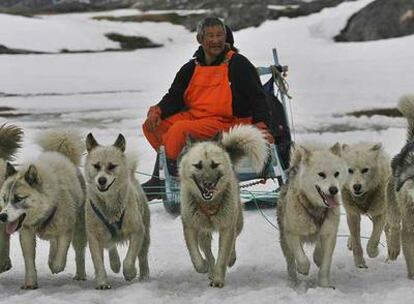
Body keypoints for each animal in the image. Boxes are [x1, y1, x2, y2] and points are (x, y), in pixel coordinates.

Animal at [0, 129, 86, 288]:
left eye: (19, 198)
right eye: (4, 198)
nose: (2, 216)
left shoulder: (66, 230)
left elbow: (61, 256)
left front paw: (57, 266)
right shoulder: (26, 233)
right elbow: (29, 259)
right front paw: (30, 283)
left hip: (79, 227)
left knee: (79, 251)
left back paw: (80, 274)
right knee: (53, 242)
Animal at [84, 134, 150, 290]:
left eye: (112, 166)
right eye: (96, 166)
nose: (102, 180)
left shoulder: (137, 231)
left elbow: (130, 258)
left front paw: (130, 272)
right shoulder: (94, 236)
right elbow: (98, 262)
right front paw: (102, 282)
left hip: (145, 232)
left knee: (143, 256)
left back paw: (144, 276)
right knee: (111, 246)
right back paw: (115, 263)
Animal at [180, 124, 268, 288]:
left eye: (215, 165)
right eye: (198, 165)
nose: (208, 184)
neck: (209, 204)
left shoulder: (227, 227)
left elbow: (223, 256)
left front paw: (218, 279)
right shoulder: (190, 227)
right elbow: (195, 256)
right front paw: (204, 267)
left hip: (237, 222)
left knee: (233, 241)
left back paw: (229, 260)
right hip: (204, 231)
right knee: (207, 251)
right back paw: (210, 269)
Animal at [276, 144, 348, 288]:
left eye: (336, 174)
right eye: (321, 174)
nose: (334, 190)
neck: (315, 208)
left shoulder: (329, 234)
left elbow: (325, 263)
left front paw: (324, 285)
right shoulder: (291, 233)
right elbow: (301, 258)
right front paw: (303, 269)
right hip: (284, 240)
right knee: (290, 262)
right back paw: (292, 281)